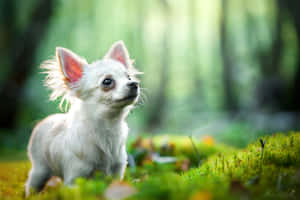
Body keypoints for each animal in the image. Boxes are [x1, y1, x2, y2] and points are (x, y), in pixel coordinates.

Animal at [25, 40, 140, 195]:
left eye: (129, 77)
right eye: (107, 82)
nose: (134, 84)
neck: (107, 127)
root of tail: (43, 121)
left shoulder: (116, 172)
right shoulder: (75, 178)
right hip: (40, 171)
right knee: (31, 184)